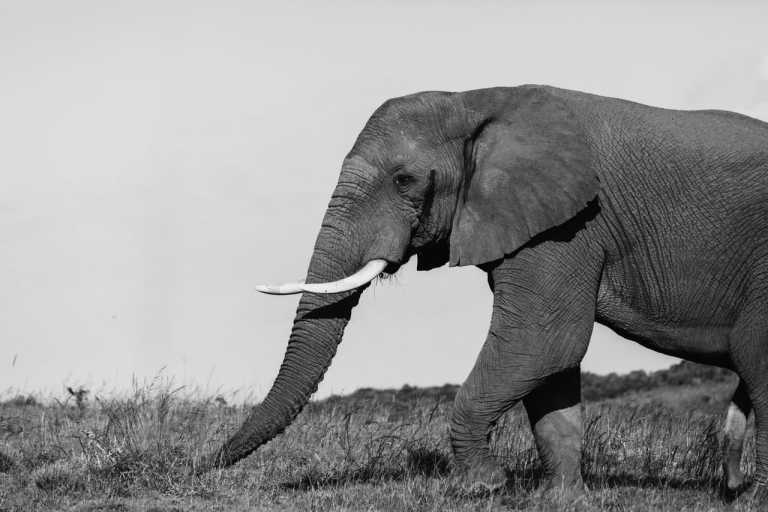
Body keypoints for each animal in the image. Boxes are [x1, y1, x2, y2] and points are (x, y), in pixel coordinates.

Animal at [200, 85, 768, 500]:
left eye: (404, 180)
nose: (202, 465)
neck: (476, 100)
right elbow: (550, 365)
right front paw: (562, 502)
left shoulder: (571, 224)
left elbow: (543, 342)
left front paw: (483, 486)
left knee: (753, 358)